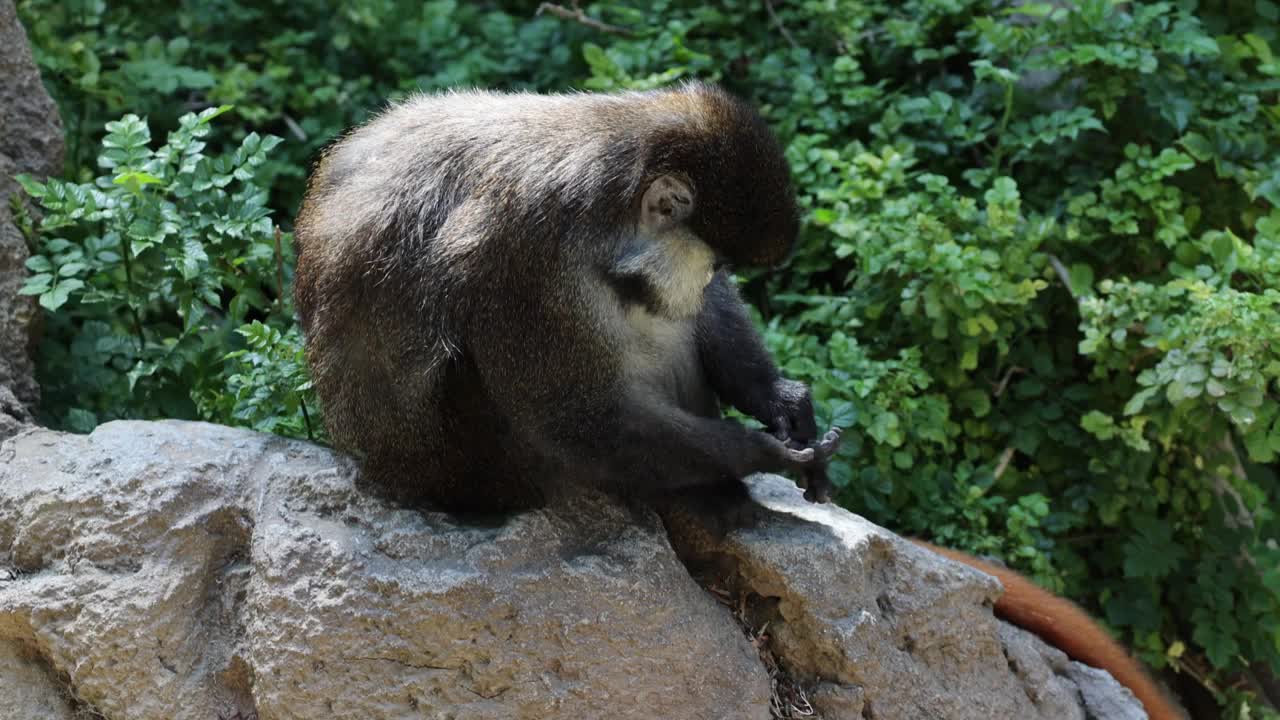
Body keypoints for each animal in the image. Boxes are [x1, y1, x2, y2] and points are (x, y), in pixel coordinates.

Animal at [294, 81, 844, 512]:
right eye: (717, 265)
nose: (707, 283)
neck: (602, 213)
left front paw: (778, 396)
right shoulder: (517, 253)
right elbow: (574, 420)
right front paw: (759, 451)